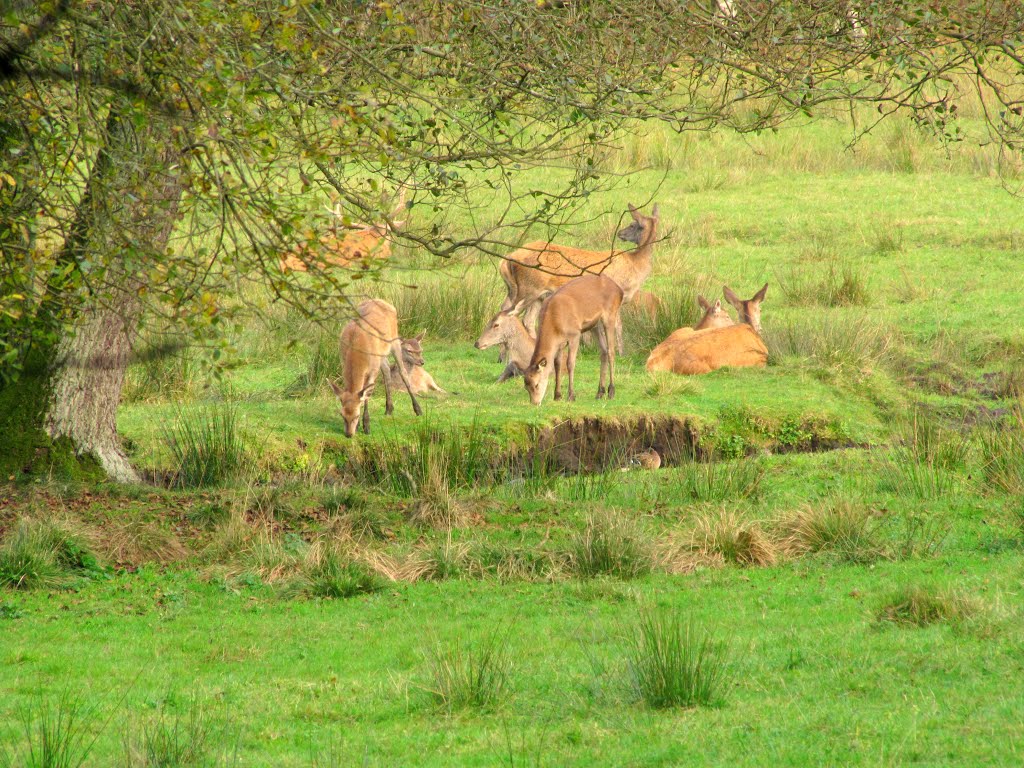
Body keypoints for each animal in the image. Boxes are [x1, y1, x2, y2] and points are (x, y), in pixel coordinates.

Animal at [329, 301, 421, 438]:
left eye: (356, 415)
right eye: (342, 414)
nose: (348, 434)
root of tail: (384, 302)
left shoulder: (372, 370)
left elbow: (367, 394)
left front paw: (366, 426)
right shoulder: (343, 361)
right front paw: (359, 426)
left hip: (394, 341)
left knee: (402, 371)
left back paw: (418, 409)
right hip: (380, 355)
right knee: (387, 368)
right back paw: (389, 408)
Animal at [499, 202, 659, 350]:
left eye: (632, 225)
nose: (620, 233)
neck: (635, 265)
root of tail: (507, 260)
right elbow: (616, 326)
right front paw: (620, 352)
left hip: (528, 293)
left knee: (522, 318)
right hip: (529, 289)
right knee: (512, 315)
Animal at [524, 276, 618, 409]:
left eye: (536, 384)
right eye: (526, 386)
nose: (535, 403)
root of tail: (619, 290)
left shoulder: (575, 334)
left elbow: (570, 363)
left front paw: (571, 396)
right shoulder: (560, 343)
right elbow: (557, 364)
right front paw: (557, 395)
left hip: (610, 315)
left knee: (611, 351)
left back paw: (611, 391)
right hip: (595, 325)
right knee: (603, 351)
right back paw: (600, 392)